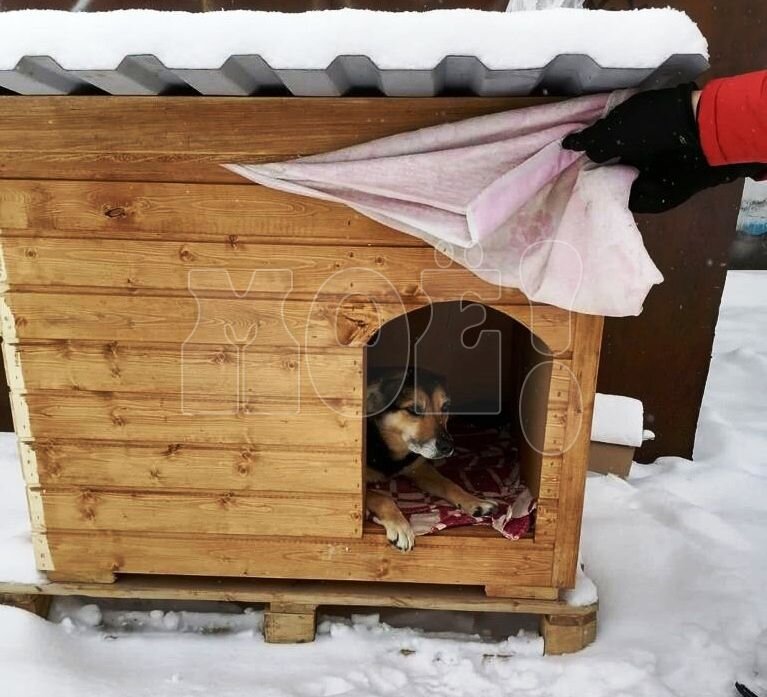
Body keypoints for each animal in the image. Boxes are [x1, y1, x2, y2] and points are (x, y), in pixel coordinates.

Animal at [366, 368, 498, 552]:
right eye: (414, 410)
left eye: (445, 407)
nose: (448, 447)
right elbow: (382, 497)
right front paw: (400, 525)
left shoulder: (420, 469)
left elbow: (449, 483)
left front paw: (475, 501)